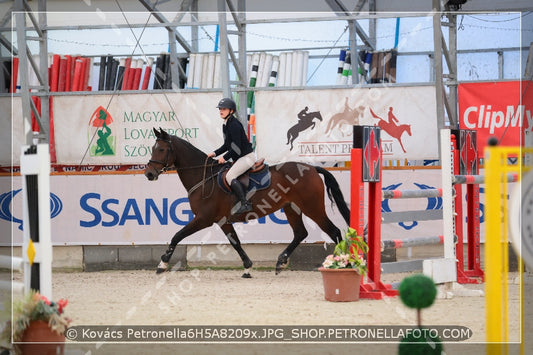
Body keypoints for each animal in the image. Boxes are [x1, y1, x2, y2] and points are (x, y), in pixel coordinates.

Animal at [142, 128, 350, 278]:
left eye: (161, 149)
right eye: (153, 148)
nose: (149, 174)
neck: (204, 177)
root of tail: (313, 168)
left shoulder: (203, 219)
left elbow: (177, 236)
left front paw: (162, 264)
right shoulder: (223, 221)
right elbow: (236, 243)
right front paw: (247, 268)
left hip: (312, 207)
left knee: (334, 232)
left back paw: (343, 263)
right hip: (291, 208)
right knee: (300, 233)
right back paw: (280, 262)